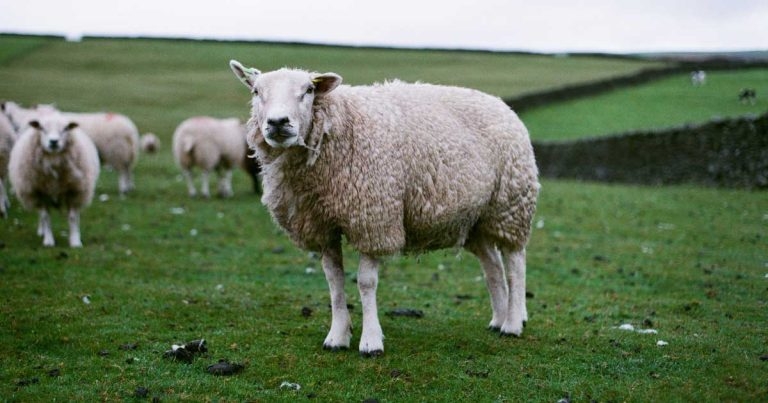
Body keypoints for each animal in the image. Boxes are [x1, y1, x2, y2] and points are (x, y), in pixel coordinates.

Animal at [2, 102, 140, 195]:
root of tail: (131, 130)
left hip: (118, 152)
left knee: (122, 172)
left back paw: (123, 189)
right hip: (126, 153)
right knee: (128, 170)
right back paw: (129, 188)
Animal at [8, 113, 100, 247]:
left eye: (65, 128)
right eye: (41, 128)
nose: (53, 142)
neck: (53, 160)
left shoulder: (74, 191)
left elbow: (73, 217)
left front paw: (75, 241)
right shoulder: (39, 192)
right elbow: (46, 217)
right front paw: (48, 241)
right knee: (41, 215)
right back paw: (41, 231)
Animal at [230, 61, 540, 356]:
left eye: (308, 90)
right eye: (256, 91)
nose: (278, 122)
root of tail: (502, 105)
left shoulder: (373, 217)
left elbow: (366, 282)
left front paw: (371, 342)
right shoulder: (321, 226)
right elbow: (334, 280)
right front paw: (337, 336)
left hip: (510, 205)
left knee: (515, 263)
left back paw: (512, 324)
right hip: (475, 219)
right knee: (493, 267)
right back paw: (498, 319)